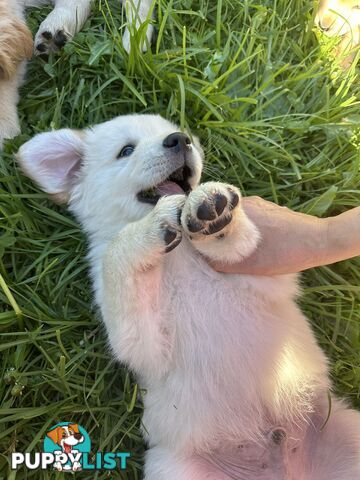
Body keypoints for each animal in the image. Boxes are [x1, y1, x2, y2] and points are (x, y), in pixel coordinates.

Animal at [16, 114, 360, 478]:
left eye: (178, 133)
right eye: (126, 150)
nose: (180, 140)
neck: (179, 256)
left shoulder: (268, 273)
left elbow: (242, 243)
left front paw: (211, 207)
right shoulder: (141, 340)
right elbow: (116, 255)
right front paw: (147, 229)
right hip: (173, 468)